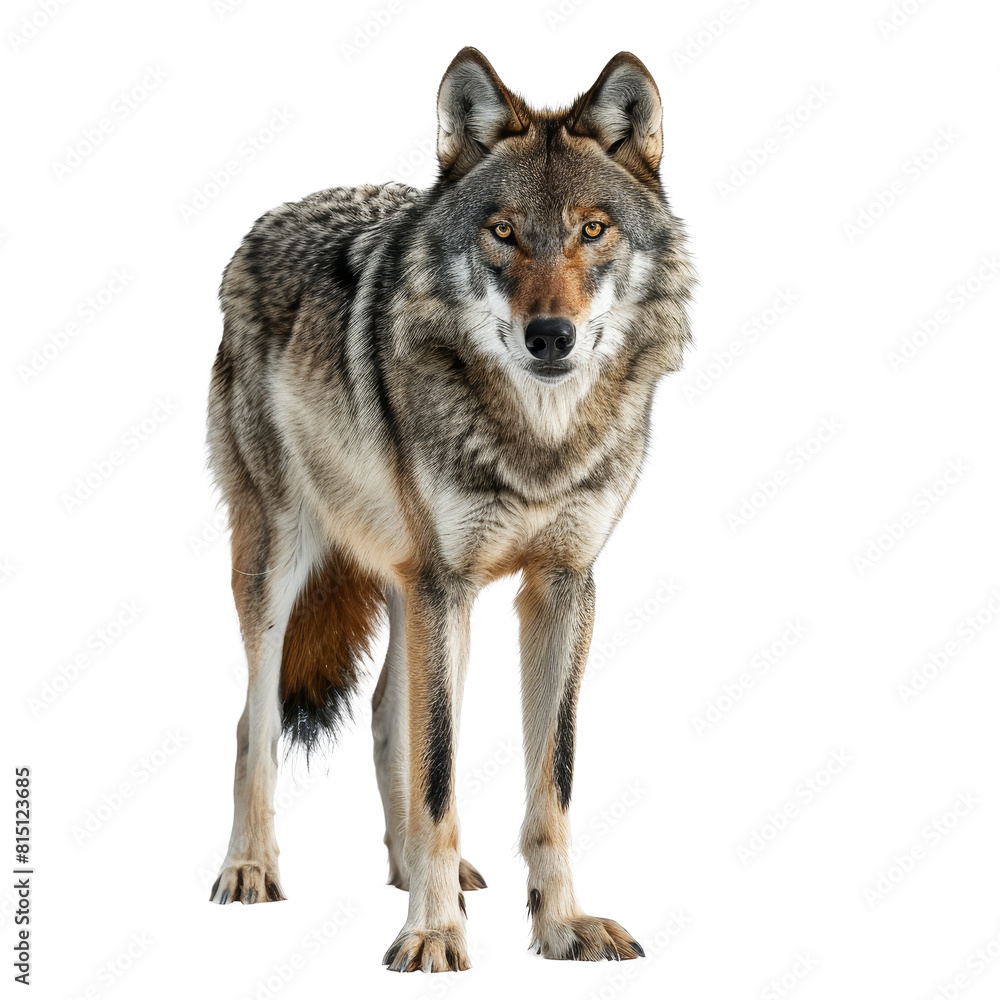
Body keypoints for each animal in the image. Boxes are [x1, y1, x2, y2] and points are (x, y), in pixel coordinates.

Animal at [207, 47, 694, 972]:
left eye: (592, 230)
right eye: (502, 232)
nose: (550, 336)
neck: (537, 444)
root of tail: (268, 219)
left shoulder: (561, 585)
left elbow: (548, 780)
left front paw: (561, 925)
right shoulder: (447, 584)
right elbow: (439, 776)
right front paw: (433, 934)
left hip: (407, 588)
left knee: (383, 716)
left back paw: (411, 871)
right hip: (283, 565)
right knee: (254, 720)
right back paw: (251, 867)